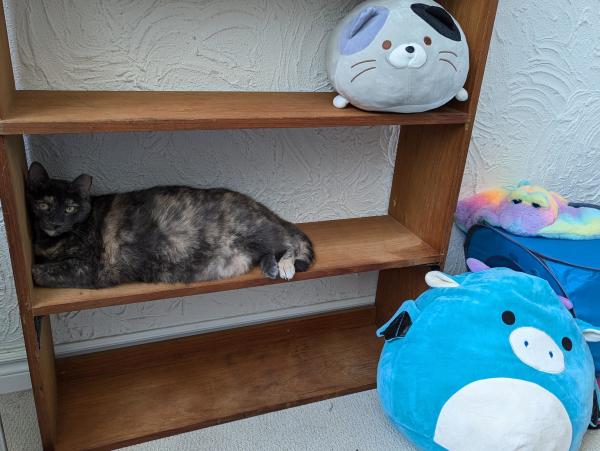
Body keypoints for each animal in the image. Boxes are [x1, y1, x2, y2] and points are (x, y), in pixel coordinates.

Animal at [27, 162, 314, 290]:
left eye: (70, 208)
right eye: (43, 205)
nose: (55, 222)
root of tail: (259, 206)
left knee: (288, 243)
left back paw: (285, 266)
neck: (51, 242)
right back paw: (270, 267)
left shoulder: (92, 267)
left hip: (255, 230)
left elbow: (38, 272)